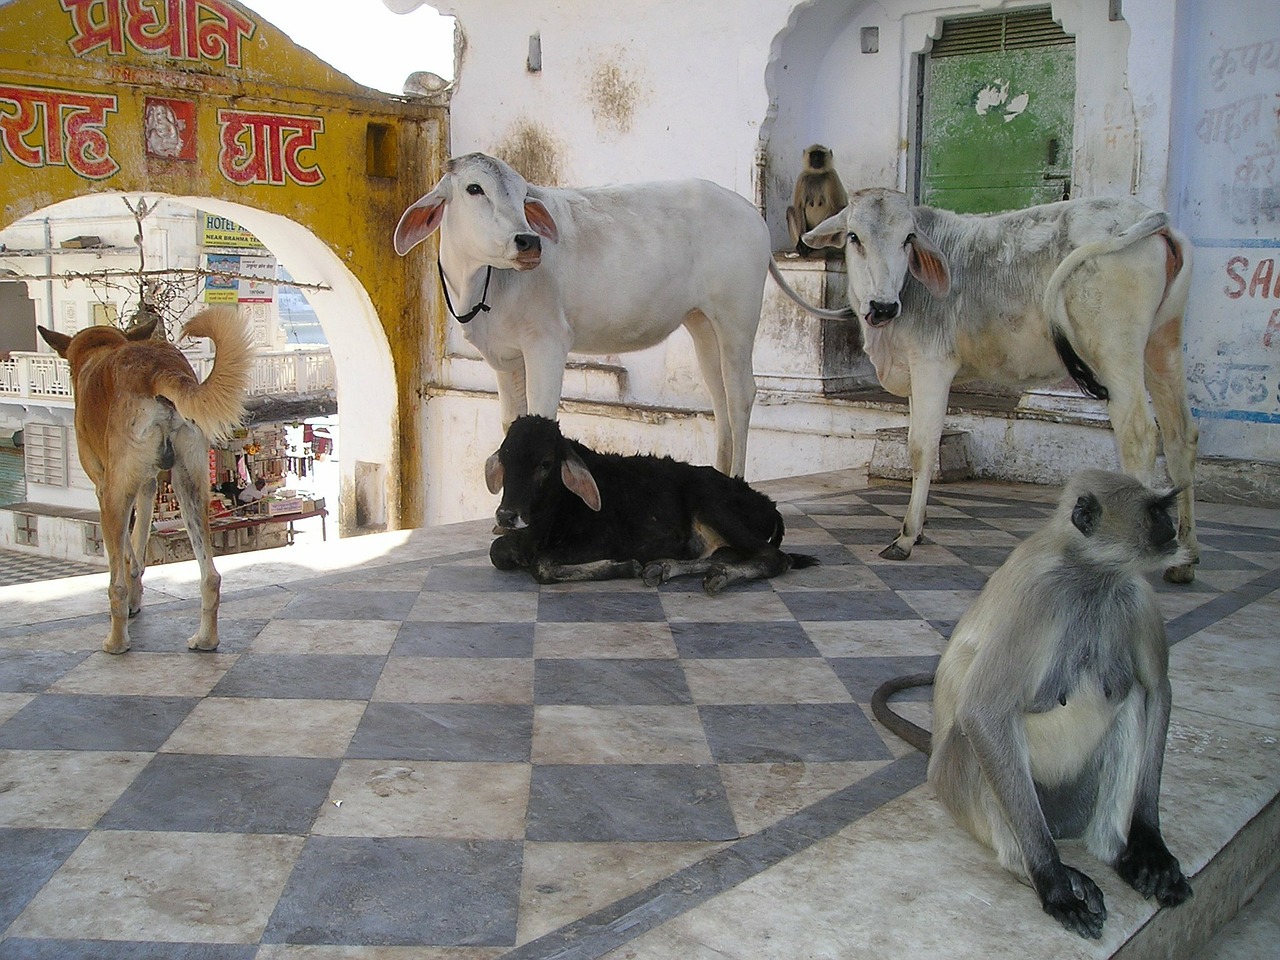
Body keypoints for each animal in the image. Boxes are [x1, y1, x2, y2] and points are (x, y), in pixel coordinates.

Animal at [38, 308, 253, 655]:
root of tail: (157, 369)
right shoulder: (148, 487)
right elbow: (138, 543)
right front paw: (138, 590)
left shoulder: (106, 488)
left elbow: (126, 551)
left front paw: (131, 594)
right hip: (190, 487)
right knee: (210, 577)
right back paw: (205, 639)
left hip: (116, 495)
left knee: (115, 585)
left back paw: (116, 641)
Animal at [394, 151, 768, 478]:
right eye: (474, 188)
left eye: (522, 194)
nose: (528, 241)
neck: (479, 283)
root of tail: (749, 210)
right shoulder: (506, 358)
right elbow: (513, 423)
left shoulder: (547, 342)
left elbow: (541, 418)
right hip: (703, 322)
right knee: (719, 396)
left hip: (737, 317)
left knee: (740, 394)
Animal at [483, 419, 814, 599]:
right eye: (505, 457)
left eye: (545, 463)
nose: (506, 515)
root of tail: (768, 504)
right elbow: (497, 552)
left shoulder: (603, 540)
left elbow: (540, 565)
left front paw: (624, 566)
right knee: (725, 555)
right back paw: (663, 568)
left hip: (713, 504)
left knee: (775, 558)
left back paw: (717, 578)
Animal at [773, 185, 1203, 578]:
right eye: (854, 237)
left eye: (908, 238)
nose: (883, 306)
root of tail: (1150, 216)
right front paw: (921, 527)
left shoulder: (932, 365)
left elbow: (921, 448)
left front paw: (908, 536)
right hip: (1162, 345)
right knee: (1181, 434)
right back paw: (1186, 558)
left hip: (1116, 352)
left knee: (1139, 435)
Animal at [911, 471, 1187, 942]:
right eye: (1155, 511)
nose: (1173, 528)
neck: (1091, 576)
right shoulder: (1039, 596)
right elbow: (984, 713)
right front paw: (1053, 880)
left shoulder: (1136, 595)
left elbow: (1157, 691)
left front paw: (1150, 842)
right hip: (963, 782)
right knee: (974, 735)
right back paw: (1034, 868)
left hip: (1076, 797)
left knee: (1132, 696)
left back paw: (1117, 851)